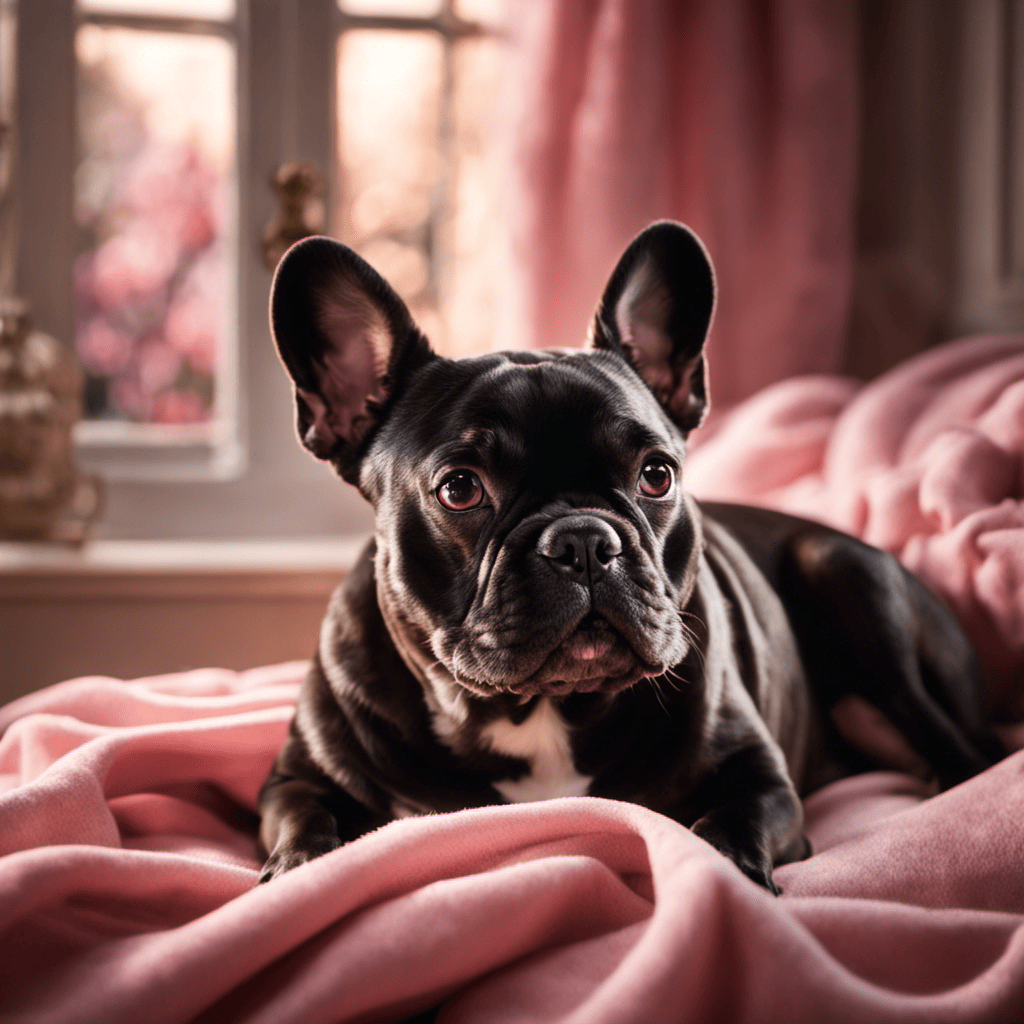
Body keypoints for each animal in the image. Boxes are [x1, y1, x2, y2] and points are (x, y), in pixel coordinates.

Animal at [258, 222, 999, 888]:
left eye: (657, 475)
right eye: (461, 488)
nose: (584, 539)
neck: (542, 713)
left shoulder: (762, 777)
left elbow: (731, 819)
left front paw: (724, 871)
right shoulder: (293, 779)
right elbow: (304, 818)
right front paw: (299, 871)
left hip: (843, 573)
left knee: (967, 750)